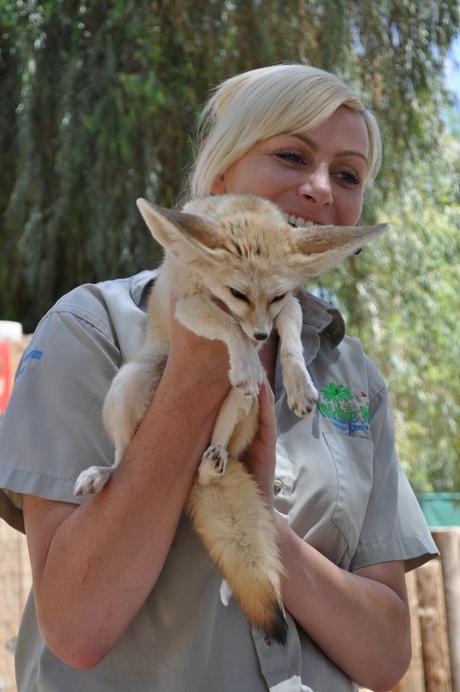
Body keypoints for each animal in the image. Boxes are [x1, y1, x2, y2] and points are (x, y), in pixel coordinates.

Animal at [74, 195, 384, 644]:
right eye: (238, 293)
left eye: (273, 296)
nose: (260, 337)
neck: (244, 208)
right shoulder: (189, 305)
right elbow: (226, 324)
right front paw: (246, 355)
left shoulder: (288, 306)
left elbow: (291, 338)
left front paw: (299, 383)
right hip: (129, 385)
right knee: (125, 454)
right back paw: (103, 473)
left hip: (246, 405)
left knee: (217, 447)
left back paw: (213, 460)